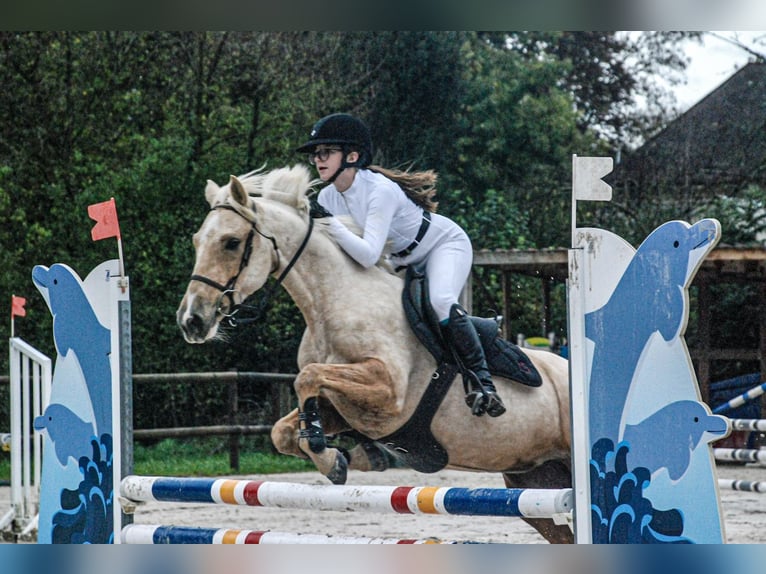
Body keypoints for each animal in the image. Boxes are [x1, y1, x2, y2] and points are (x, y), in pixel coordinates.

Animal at [178, 165, 576, 544]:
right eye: (197, 240)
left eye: (231, 243)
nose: (191, 321)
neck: (331, 305)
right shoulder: (343, 408)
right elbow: (284, 431)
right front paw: (342, 458)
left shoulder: (387, 394)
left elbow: (307, 377)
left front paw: (336, 454)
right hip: (534, 480)